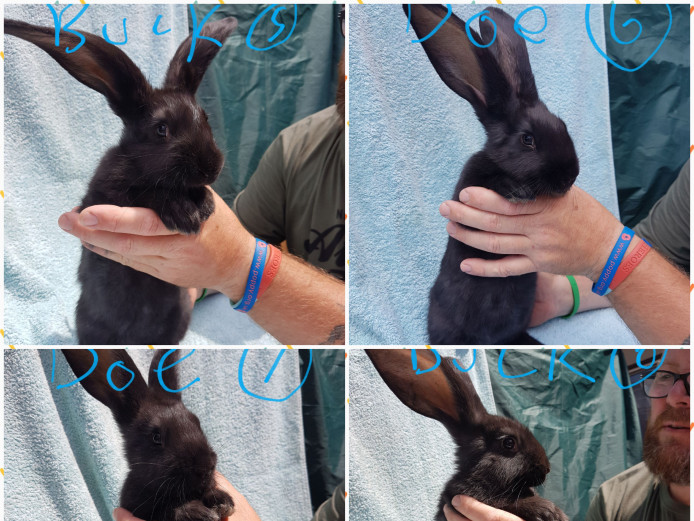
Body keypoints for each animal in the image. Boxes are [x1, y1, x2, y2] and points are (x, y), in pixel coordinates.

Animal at [4, 15, 238, 344]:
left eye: (205, 119)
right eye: (161, 129)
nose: (211, 168)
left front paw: (204, 204)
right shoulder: (104, 196)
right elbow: (147, 193)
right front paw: (184, 213)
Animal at [61, 349, 234, 521]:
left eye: (197, 423)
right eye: (156, 437)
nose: (205, 467)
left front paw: (223, 502)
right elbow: (167, 512)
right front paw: (197, 513)